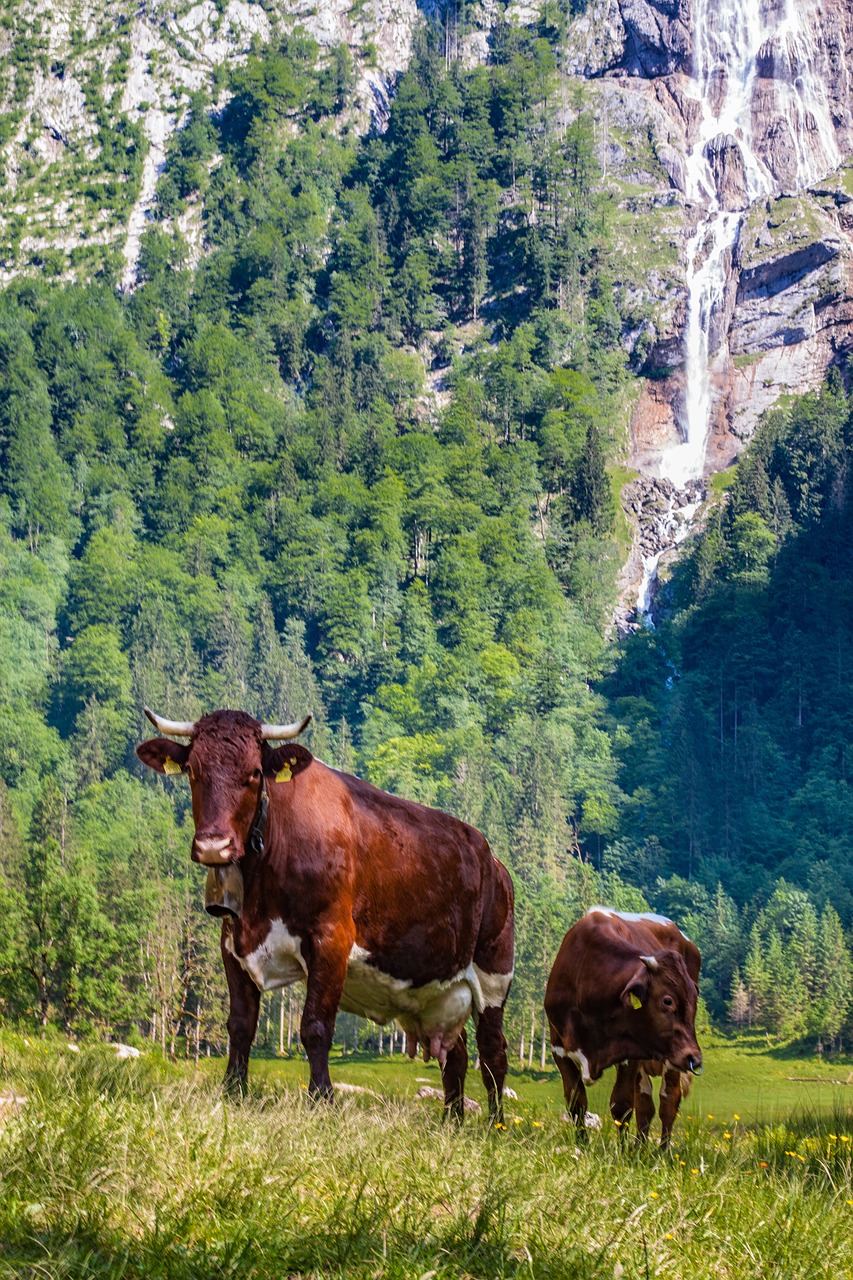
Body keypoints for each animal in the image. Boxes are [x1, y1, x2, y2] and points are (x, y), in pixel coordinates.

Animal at [137, 711, 512, 1121]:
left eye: (254, 772)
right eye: (192, 769)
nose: (213, 846)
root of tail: (492, 860)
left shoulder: (331, 939)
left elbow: (315, 1027)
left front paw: (321, 1100)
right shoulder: (232, 943)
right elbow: (240, 1026)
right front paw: (233, 1092)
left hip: (494, 974)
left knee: (493, 1053)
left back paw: (494, 1124)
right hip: (439, 991)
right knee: (456, 1055)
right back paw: (452, 1122)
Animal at [545, 906, 696, 1146]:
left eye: (694, 997)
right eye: (667, 1000)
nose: (695, 1058)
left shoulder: (629, 1051)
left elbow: (621, 1105)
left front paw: (622, 1149)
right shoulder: (559, 1048)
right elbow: (576, 1101)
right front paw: (582, 1144)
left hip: (672, 1058)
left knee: (668, 1101)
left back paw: (661, 1151)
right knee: (645, 1102)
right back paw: (640, 1148)